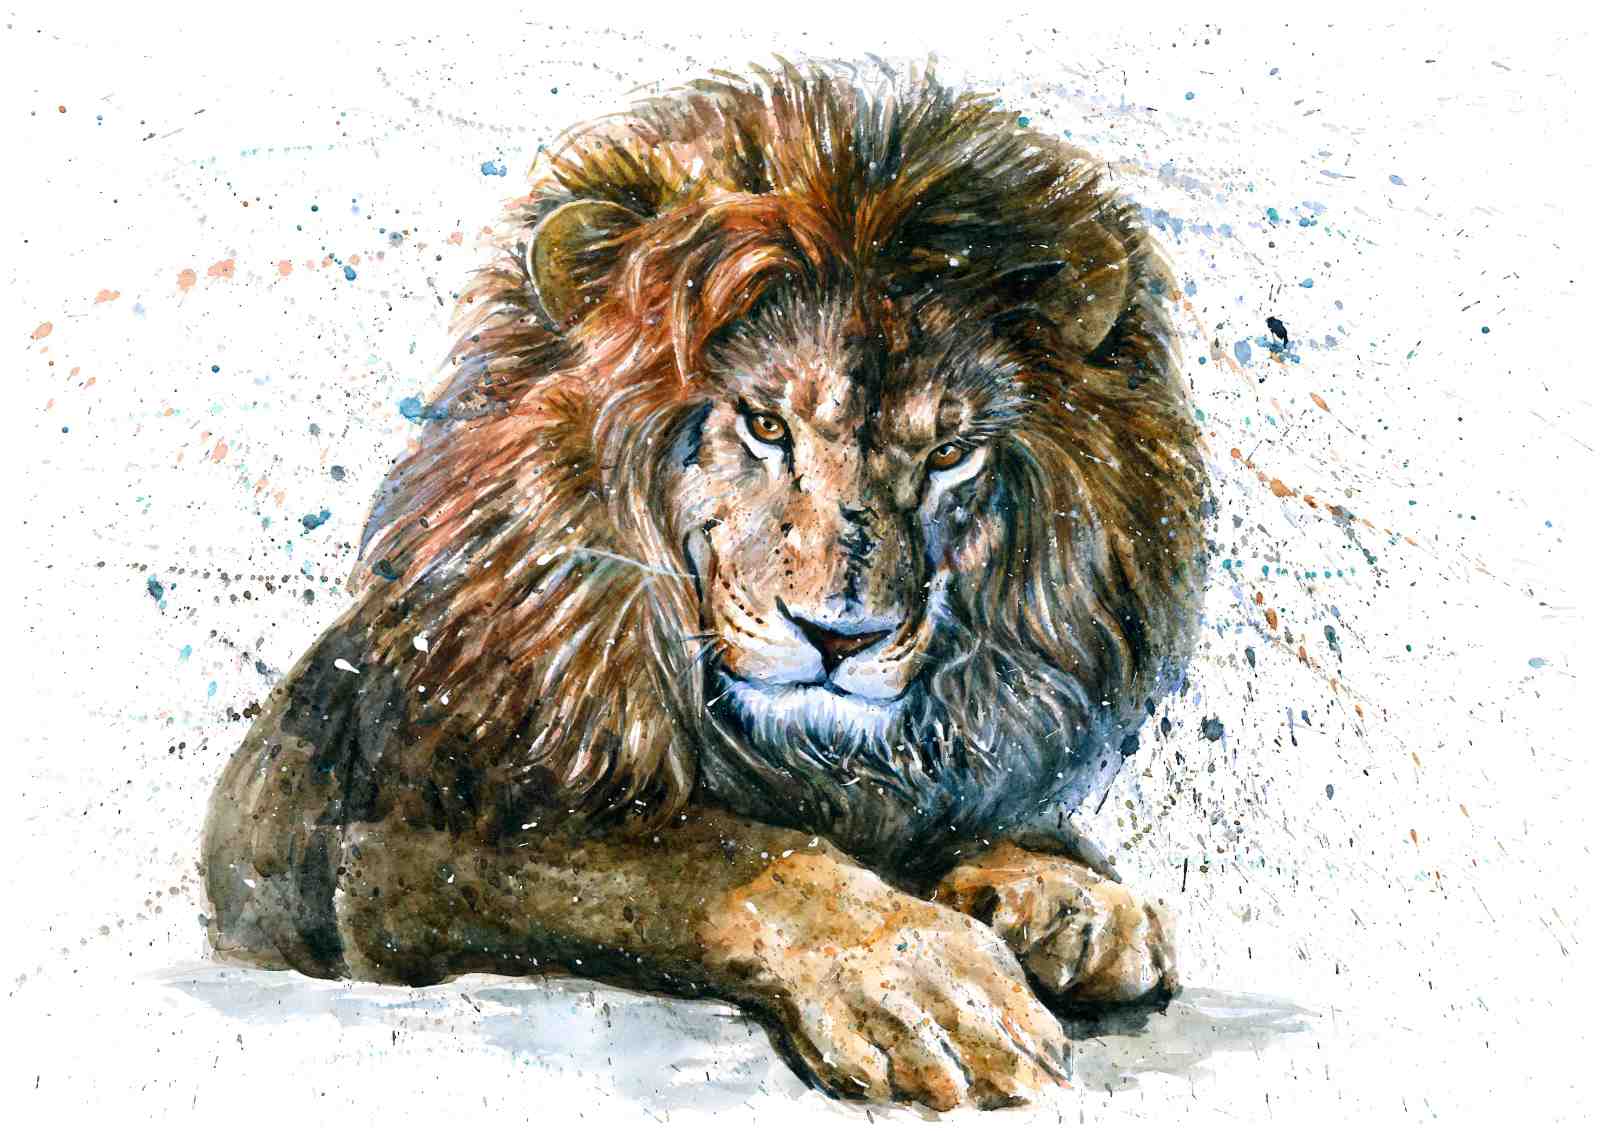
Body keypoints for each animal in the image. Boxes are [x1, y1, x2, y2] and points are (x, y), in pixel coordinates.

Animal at [201, 61, 1209, 1110]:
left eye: (949, 454)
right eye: (764, 424)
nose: (840, 637)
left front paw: (1071, 894)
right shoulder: (382, 844)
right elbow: (730, 855)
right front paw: (922, 977)